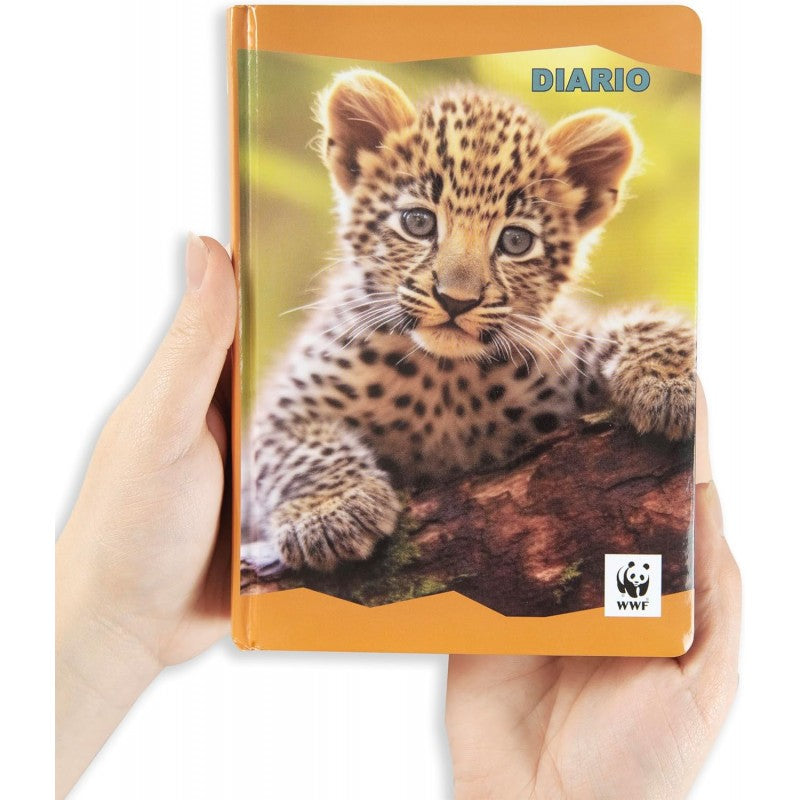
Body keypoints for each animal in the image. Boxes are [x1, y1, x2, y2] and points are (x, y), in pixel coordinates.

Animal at [243, 69, 695, 574]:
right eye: (418, 222)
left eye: (516, 241)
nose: (455, 300)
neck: (442, 382)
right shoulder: (290, 403)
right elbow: (300, 448)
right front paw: (332, 511)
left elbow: (637, 323)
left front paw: (672, 382)